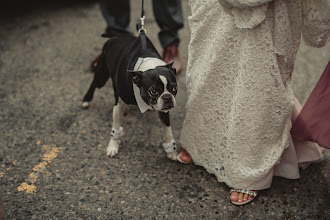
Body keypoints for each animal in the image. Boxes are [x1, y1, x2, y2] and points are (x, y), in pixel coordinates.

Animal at [82, 33, 179, 161]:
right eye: (153, 91)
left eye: (174, 88)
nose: (167, 97)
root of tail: (116, 36)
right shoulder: (118, 104)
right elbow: (116, 128)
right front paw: (113, 146)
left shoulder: (163, 110)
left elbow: (168, 130)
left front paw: (171, 151)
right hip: (101, 75)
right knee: (94, 83)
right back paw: (86, 99)